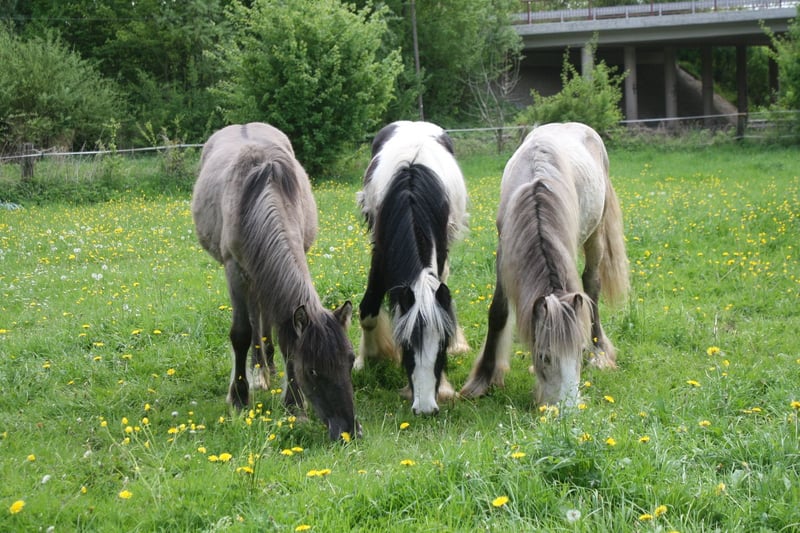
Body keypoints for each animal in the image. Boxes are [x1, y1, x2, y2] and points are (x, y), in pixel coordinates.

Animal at [191, 122, 359, 441]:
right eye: (313, 371)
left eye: (351, 360)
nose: (348, 431)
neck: (262, 195)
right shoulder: (233, 270)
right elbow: (241, 334)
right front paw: (239, 397)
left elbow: (286, 337)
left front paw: (294, 406)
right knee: (254, 321)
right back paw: (258, 372)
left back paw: (266, 365)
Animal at [356, 120, 469, 415]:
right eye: (407, 346)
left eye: (442, 346)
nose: (426, 407)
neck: (411, 190)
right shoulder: (381, 252)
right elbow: (368, 312)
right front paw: (365, 359)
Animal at [460, 122, 629, 408]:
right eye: (544, 356)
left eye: (578, 350)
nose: (568, 409)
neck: (535, 187)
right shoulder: (505, 254)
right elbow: (498, 312)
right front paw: (482, 380)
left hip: (595, 234)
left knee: (592, 286)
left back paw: (599, 353)